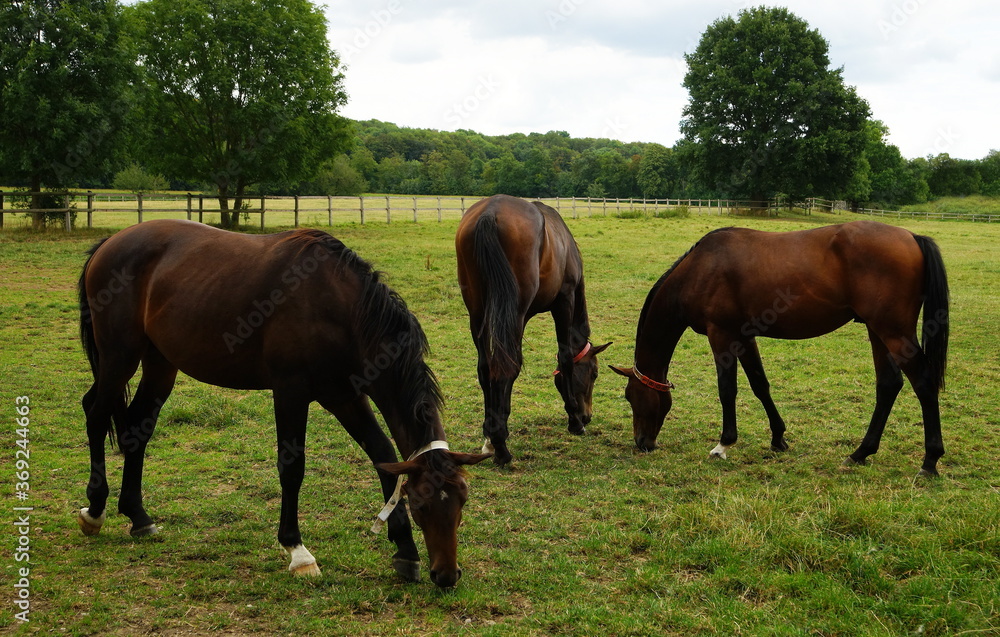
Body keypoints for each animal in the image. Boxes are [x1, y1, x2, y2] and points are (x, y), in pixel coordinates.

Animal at [76, 219, 490, 588]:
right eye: (421, 506)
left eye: (462, 501)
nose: (447, 575)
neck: (339, 306)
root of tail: (111, 242)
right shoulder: (291, 391)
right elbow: (292, 468)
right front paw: (298, 551)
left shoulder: (345, 396)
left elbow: (383, 457)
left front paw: (405, 552)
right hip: (119, 357)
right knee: (95, 414)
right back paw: (95, 510)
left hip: (160, 363)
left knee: (136, 429)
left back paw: (138, 516)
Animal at [458, 194, 612, 462]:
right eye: (594, 373)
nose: (587, 416)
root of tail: (490, 212)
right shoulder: (564, 300)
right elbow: (565, 359)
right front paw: (574, 421)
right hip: (515, 312)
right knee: (506, 366)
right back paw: (501, 446)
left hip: (477, 313)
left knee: (486, 367)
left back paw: (490, 438)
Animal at [608, 221, 952, 474]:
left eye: (630, 397)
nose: (642, 443)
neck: (700, 269)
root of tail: (912, 237)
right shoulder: (744, 337)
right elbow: (760, 385)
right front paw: (778, 438)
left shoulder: (721, 335)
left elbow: (727, 390)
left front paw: (724, 444)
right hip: (877, 331)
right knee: (888, 385)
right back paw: (860, 453)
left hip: (893, 332)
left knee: (923, 383)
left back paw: (929, 461)